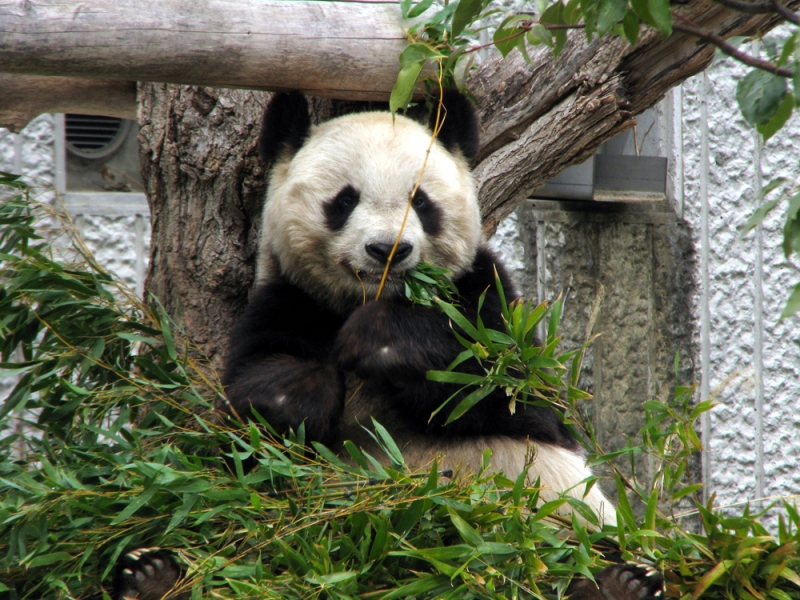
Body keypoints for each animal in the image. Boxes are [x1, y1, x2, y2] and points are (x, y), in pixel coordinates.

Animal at [111, 90, 664, 600]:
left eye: (422, 201)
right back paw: (151, 574)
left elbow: (510, 391)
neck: (375, 296)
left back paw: (619, 581)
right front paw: (305, 392)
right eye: (344, 200)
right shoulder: (285, 299)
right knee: (231, 538)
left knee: (578, 550)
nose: (388, 249)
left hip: (559, 520)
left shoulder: (491, 297)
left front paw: (381, 340)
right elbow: (251, 405)